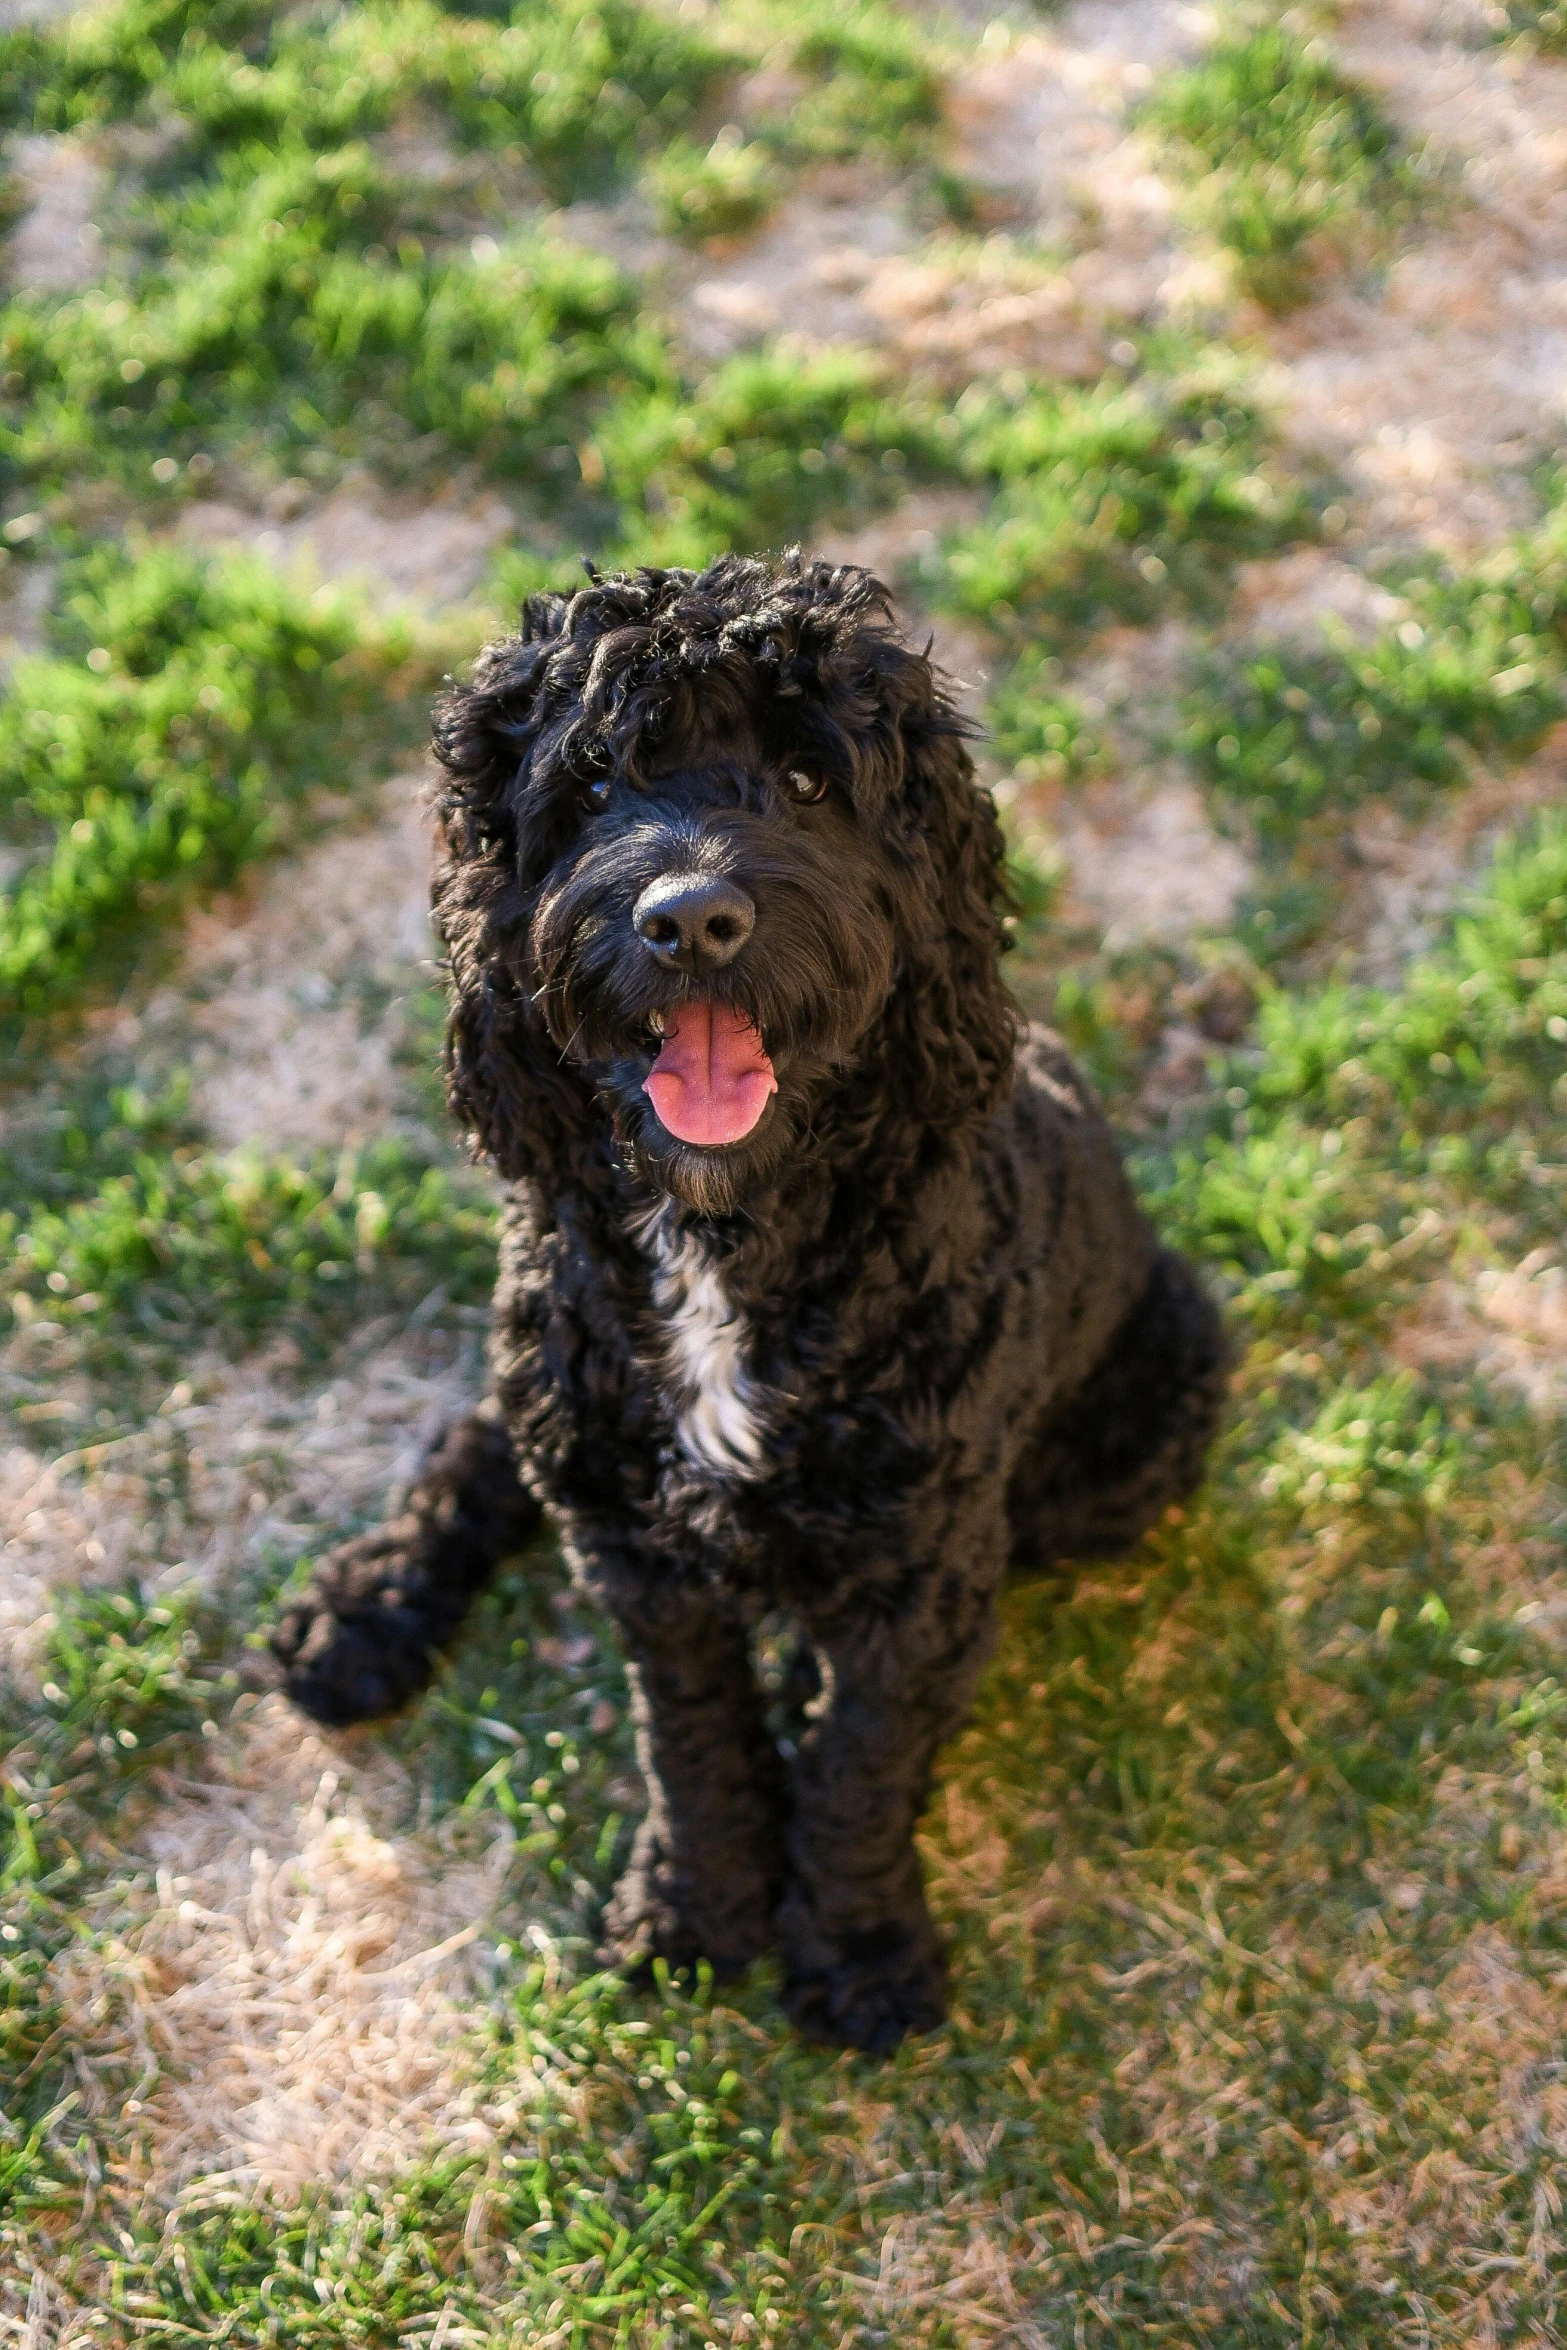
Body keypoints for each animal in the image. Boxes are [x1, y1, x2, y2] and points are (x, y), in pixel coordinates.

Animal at [272, 559, 1221, 2049]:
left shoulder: (919, 1565)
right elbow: (693, 1745)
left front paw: (857, 1943)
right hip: (559, 1392)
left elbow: (857, 1763)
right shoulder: (642, 1557)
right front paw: (691, 1911)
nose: (690, 918)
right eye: (594, 779)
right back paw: (362, 1607)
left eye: (808, 778)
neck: (725, 1235)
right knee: (482, 1444)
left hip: (1143, 1415)